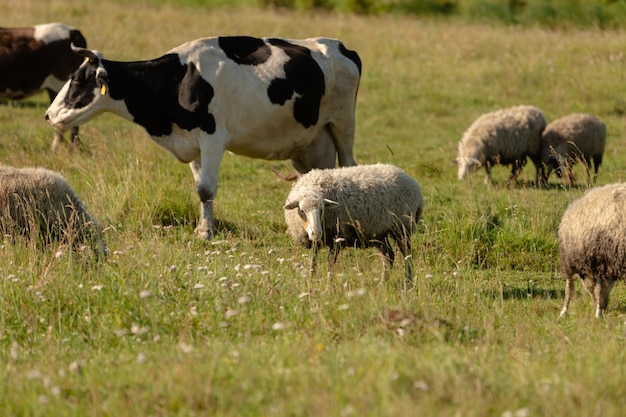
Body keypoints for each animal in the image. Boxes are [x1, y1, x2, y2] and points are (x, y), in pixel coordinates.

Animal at [45, 37, 360, 239]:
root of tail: (340, 46)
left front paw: (206, 233)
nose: (48, 115)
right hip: (310, 143)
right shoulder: (192, 145)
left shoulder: (212, 139)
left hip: (343, 124)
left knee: (349, 165)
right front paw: (201, 227)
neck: (178, 80)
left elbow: (206, 189)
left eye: (76, 80)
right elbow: (199, 188)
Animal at [284, 162, 424, 280]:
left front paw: (330, 285)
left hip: (402, 227)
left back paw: (408, 282)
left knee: (407, 256)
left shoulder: (337, 238)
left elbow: (330, 264)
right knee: (389, 257)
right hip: (380, 233)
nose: (316, 233)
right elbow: (312, 264)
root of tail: (412, 181)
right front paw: (312, 281)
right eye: (301, 210)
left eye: (322, 210)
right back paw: (383, 283)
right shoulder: (316, 243)